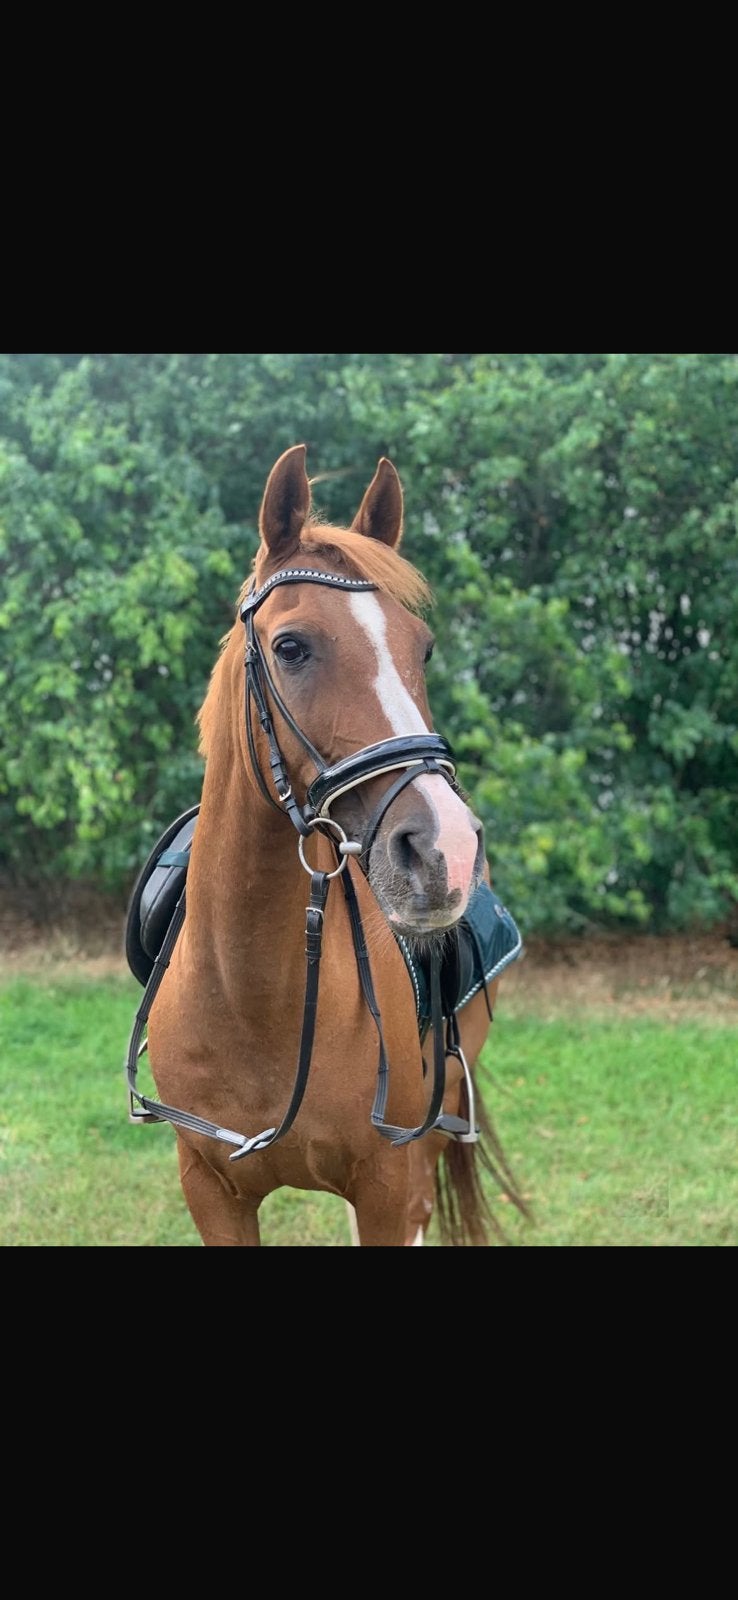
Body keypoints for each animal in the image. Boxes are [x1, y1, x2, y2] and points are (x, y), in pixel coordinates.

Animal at [138, 444, 526, 1246]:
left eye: (422, 650)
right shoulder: (211, 1188)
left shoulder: (385, 1182)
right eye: (291, 647)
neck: (254, 994)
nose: (447, 849)